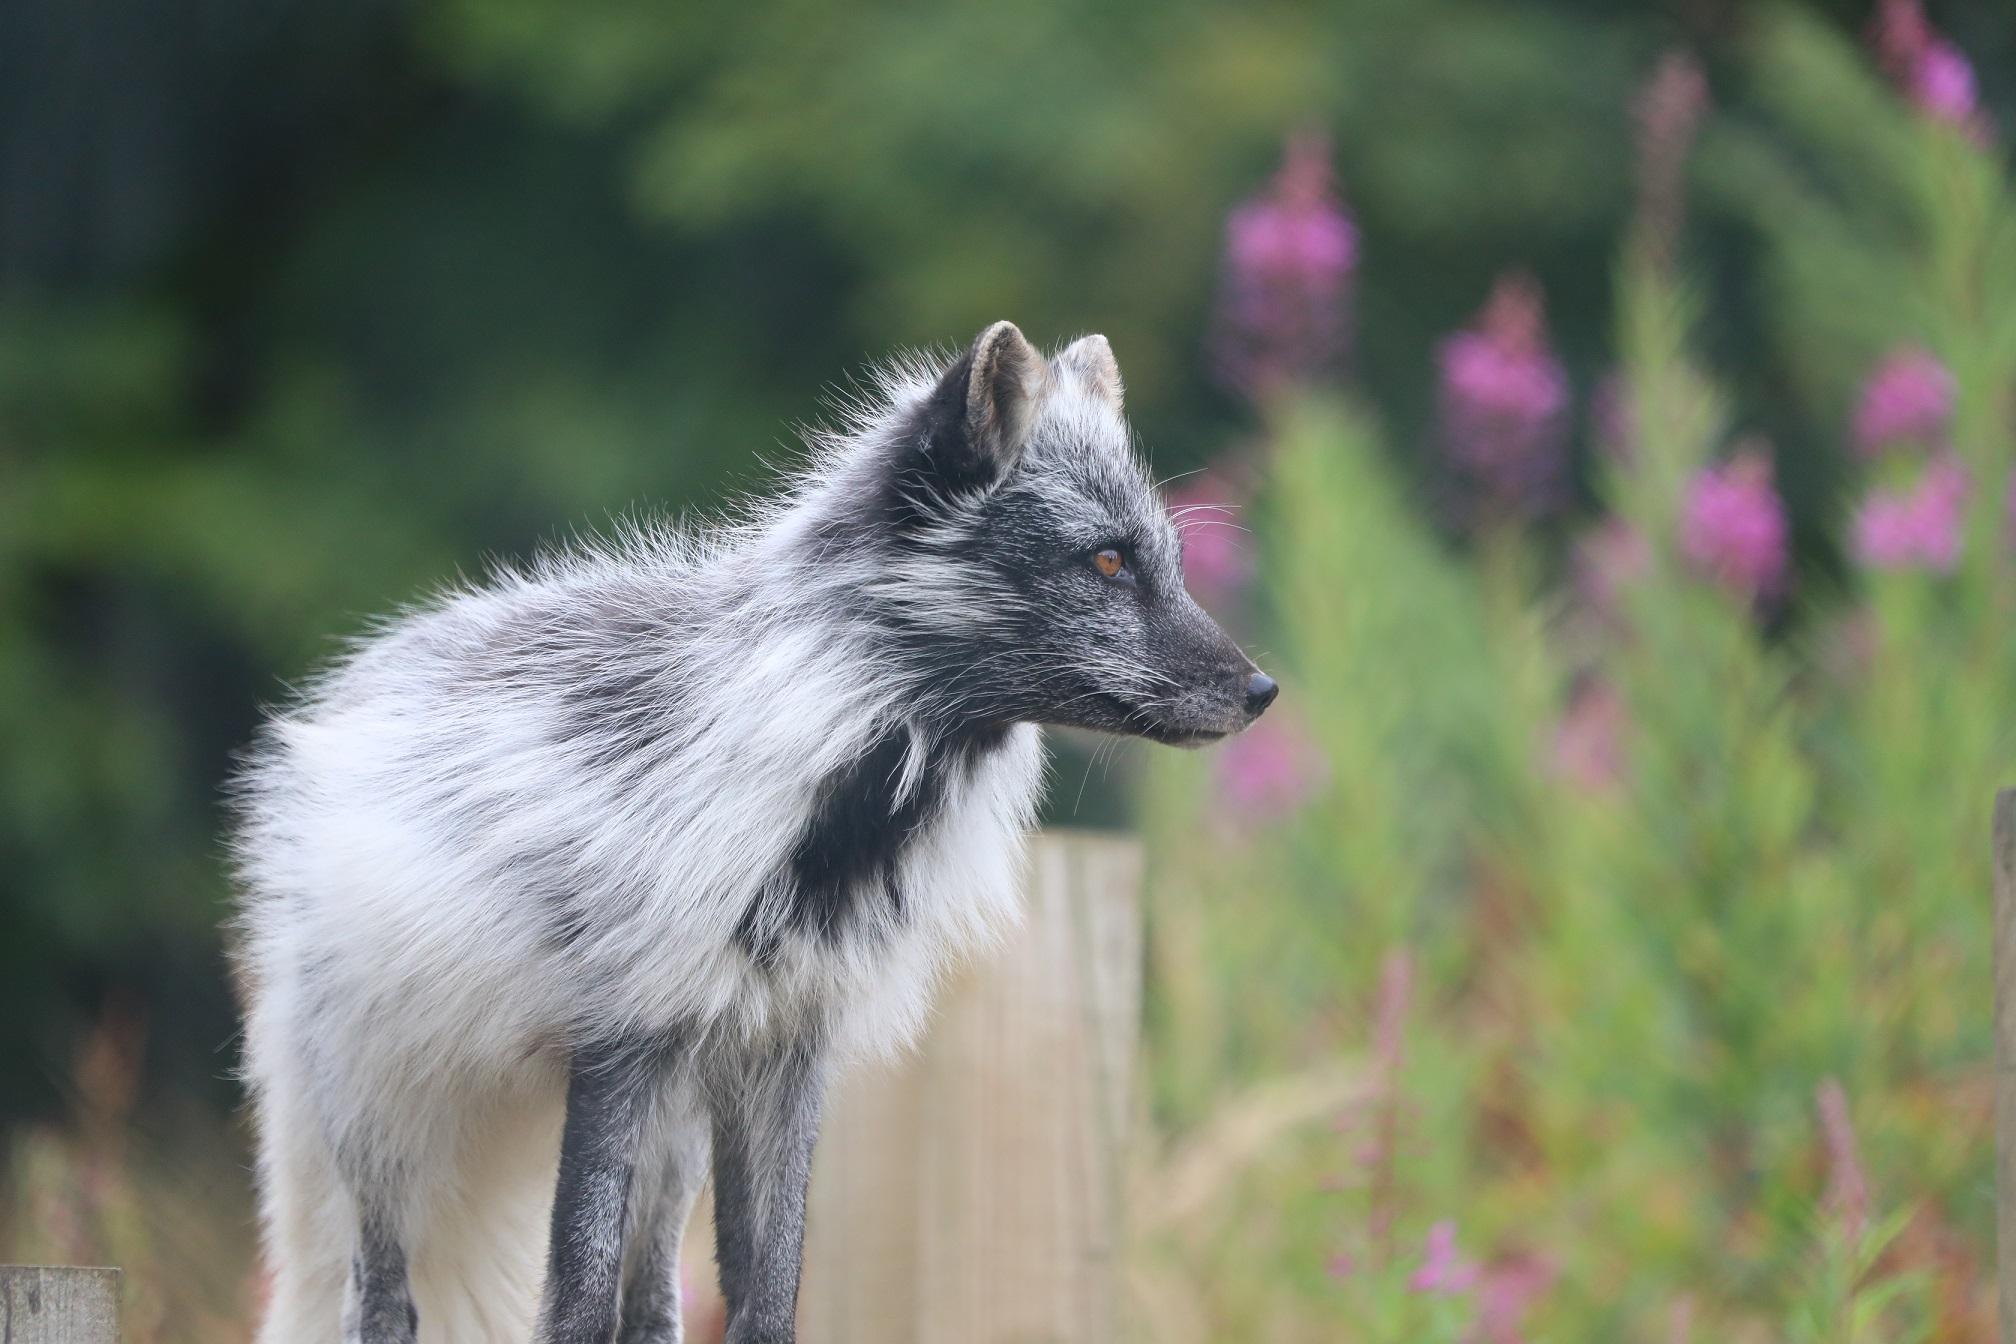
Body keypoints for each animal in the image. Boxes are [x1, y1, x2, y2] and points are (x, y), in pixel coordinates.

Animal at [229, 321, 1278, 1344]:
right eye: (1107, 562)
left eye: (1169, 566)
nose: (1263, 691)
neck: (826, 827)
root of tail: (363, 674)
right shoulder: (621, 1043)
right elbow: (574, 1304)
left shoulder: (783, 1052)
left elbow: (767, 1299)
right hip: (392, 1131)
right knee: (381, 1304)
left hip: (672, 1147)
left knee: (652, 1308)